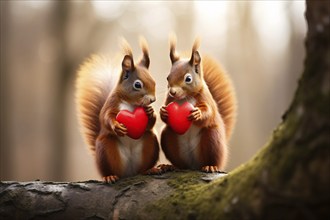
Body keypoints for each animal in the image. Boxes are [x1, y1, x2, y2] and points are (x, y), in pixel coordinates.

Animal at [77, 39, 160, 184]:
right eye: (137, 85)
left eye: (153, 81)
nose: (152, 99)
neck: (132, 104)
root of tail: (130, 172)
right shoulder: (111, 104)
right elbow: (106, 117)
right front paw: (116, 126)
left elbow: (150, 124)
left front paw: (150, 112)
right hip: (106, 149)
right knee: (111, 170)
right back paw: (109, 176)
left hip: (150, 143)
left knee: (142, 168)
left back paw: (150, 169)